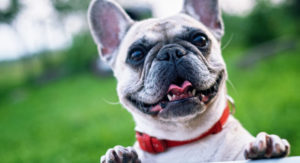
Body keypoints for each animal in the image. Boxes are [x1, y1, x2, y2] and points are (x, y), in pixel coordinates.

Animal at [88, 0, 290, 162]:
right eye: (136, 54)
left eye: (200, 39)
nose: (170, 52)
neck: (184, 139)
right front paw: (118, 156)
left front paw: (267, 145)